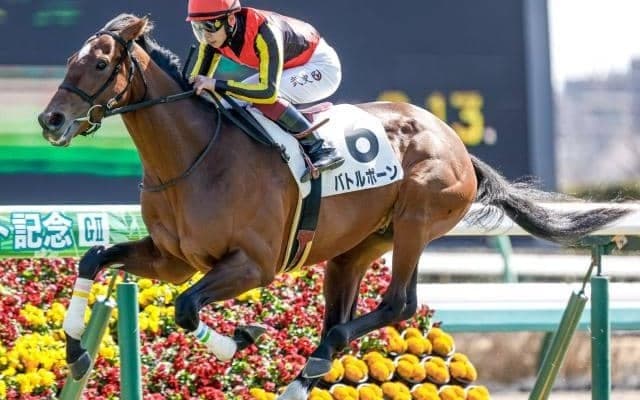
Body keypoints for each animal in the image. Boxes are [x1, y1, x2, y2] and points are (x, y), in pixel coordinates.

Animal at [38, 14, 629, 399]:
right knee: (348, 309)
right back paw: (306, 374)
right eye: (68, 60)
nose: (51, 120)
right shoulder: (173, 259)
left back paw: (321, 355)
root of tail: (455, 141)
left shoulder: (254, 265)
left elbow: (186, 308)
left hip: (416, 221)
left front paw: (241, 341)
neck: (195, 157)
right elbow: (94, 260)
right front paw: (76, 351)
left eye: (101, 62)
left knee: (399, 305)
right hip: (356, 247)